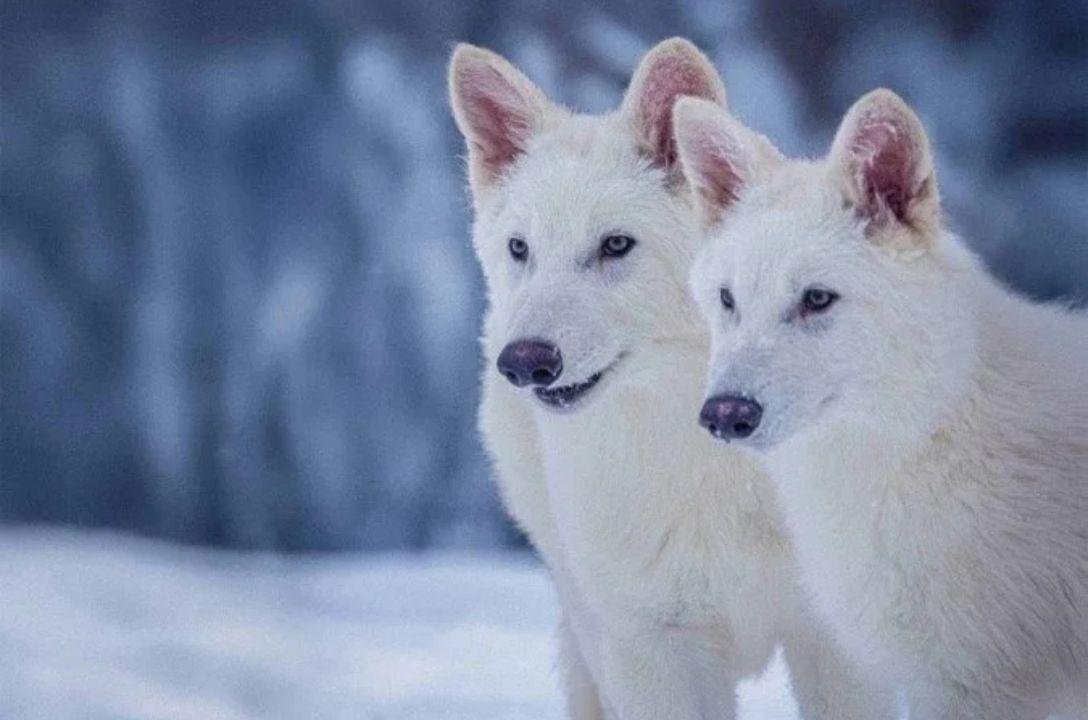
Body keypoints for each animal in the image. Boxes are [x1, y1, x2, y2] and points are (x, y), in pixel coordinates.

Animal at [448, 38, 891, 719]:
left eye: (615, 245)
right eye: (520, 248)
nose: (523, 361)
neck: (711, 464)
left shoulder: (834, 645)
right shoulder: (650, 651)